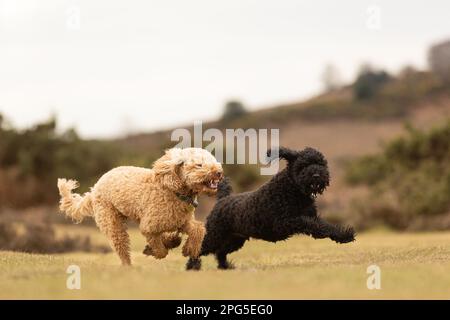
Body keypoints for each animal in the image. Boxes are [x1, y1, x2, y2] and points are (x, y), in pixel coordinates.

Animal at [185, 148, 356, 270]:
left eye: (321, 164)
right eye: (303, 165)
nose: (317, 175)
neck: (292, 189)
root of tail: (222, 199)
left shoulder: (309, 217)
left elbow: (325, 226)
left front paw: (344, 235)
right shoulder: (284, 222)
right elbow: (313, 224)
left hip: (234, 239)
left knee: (220, 252)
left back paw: (225, 267)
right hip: (215, 235)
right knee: (199, 248)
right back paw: (193, 266)